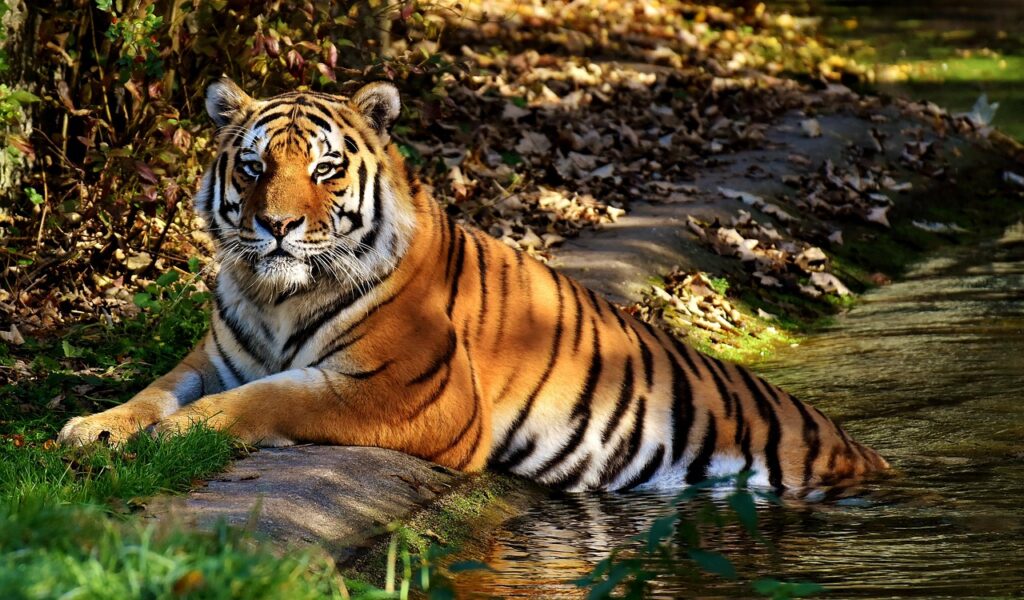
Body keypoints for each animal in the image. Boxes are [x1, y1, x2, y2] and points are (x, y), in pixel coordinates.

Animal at [58, 79, 889, 492]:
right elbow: (157, 389)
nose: (278, 227)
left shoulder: (409, 389)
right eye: (255, 166)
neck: (277, 295)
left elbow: (272, 398)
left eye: (324, 169)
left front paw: (174, 436)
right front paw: (96, 426)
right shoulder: (214, 358)